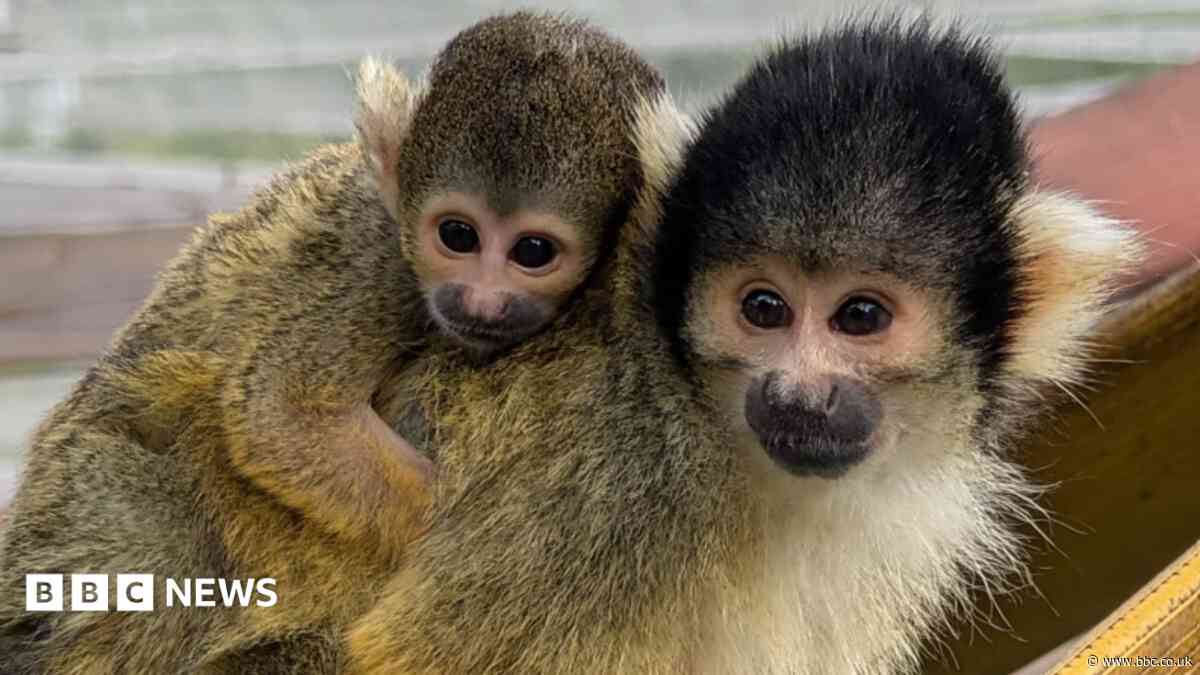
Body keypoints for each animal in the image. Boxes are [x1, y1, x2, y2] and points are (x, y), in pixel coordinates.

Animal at [0, 12, 664, 673]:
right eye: (457, 235)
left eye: (532, 251)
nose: (479, 301)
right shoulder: (376, 256)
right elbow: (285, 414)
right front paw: (450, 541)